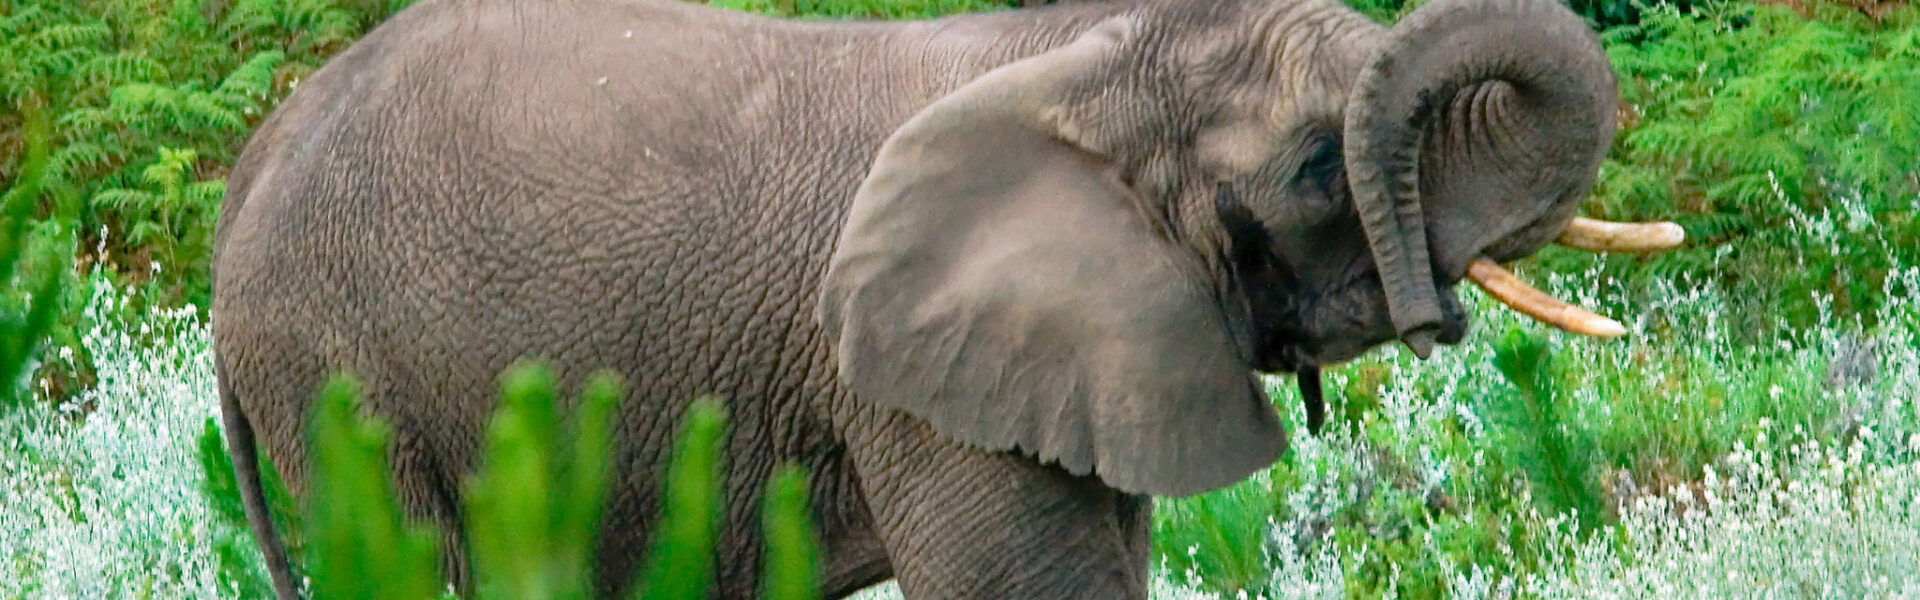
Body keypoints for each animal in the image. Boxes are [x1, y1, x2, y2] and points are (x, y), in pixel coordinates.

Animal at [209, 0, 1680, 597]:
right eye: (1321, 165)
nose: (1440, 313)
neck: (1092, 56)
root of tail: (248, 175)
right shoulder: (911, 378)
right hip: (340, 375)